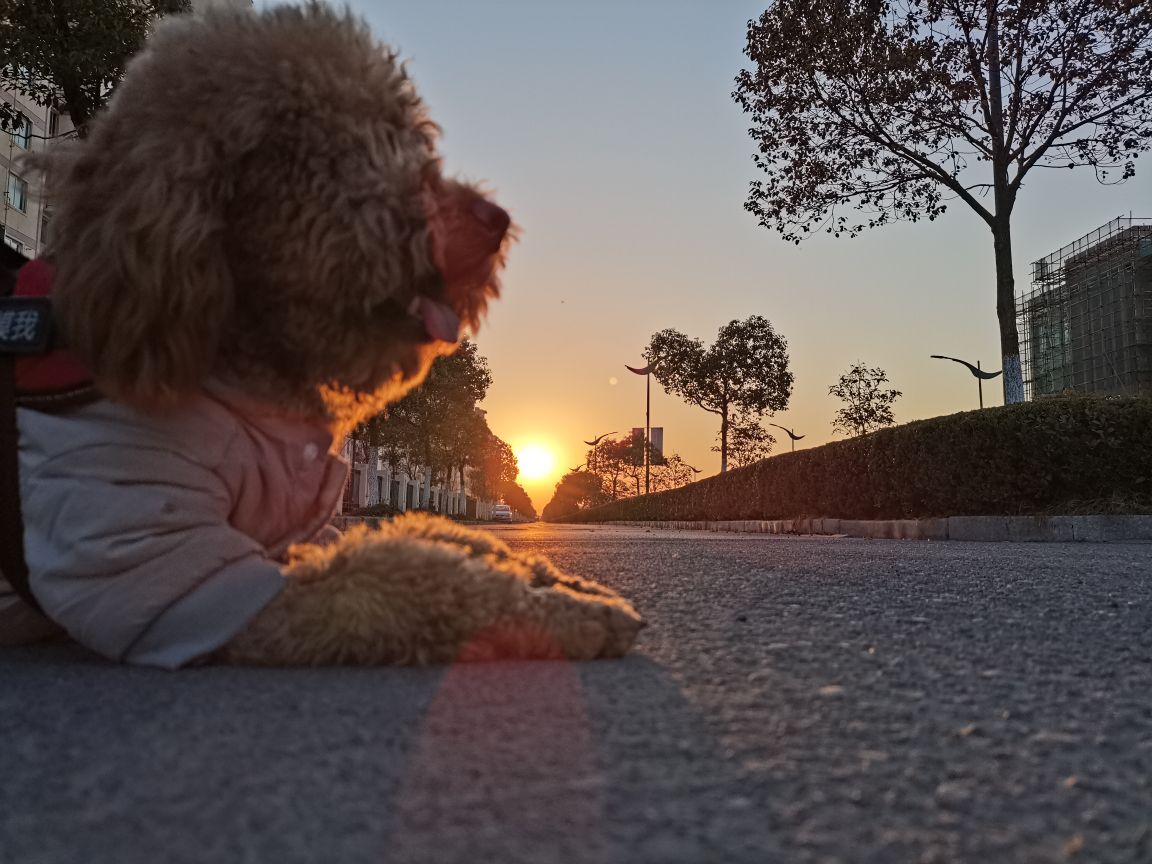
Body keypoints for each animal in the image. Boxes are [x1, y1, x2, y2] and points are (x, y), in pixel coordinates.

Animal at [2, 1, 640, 668]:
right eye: (339, 144)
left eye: (409, 134)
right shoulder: (182, 566)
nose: (495, 221)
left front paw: (547, 573)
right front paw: (567, 612)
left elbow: (435, 532)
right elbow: (409, 576)